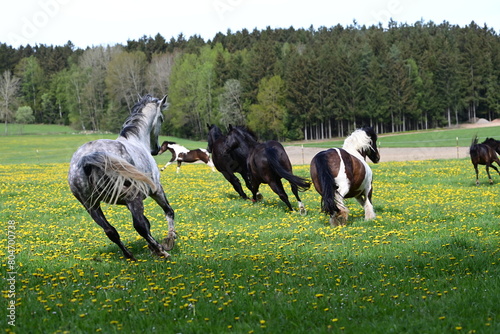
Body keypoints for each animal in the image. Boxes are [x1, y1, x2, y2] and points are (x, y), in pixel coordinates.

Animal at [66, 94, 176, 260]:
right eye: (161, 119)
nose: (155, 150)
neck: (136, 139)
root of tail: (86, 158)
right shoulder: (156, 190)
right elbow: (168, 212)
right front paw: (168, 241)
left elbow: (148, 223)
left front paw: (153, 246)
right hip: (132, 198)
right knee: (139, 226)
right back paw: (161, 251)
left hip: (91, 205)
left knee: (110, 231)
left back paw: (130, 255)